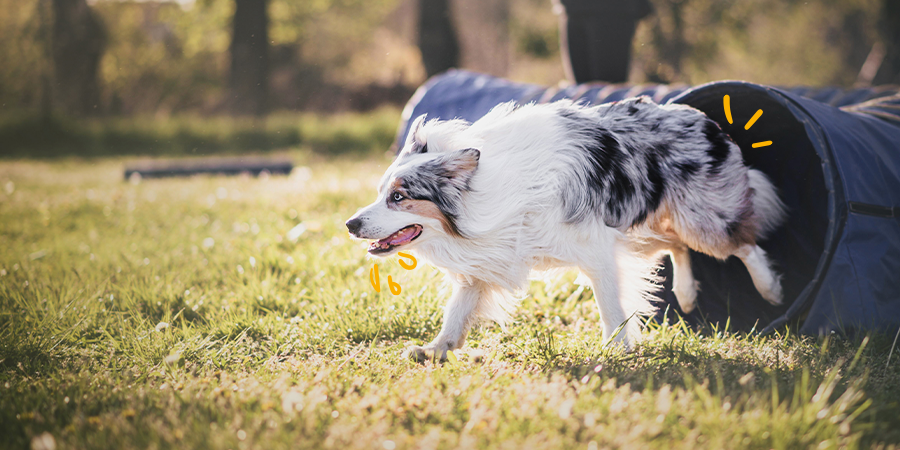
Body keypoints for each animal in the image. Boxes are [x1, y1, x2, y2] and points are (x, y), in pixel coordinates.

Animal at [348, 98, 784, 358]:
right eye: (381, 192)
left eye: (399, 197)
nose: (351, 224)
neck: (489, 193)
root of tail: (701, 117)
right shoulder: (489, 256)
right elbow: (458, 310)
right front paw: (437, 349)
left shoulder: (598, 249)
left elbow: (611, 306)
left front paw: (617, 349)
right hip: (644, 228)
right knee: (674, 245)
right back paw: (689, 295)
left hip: (700, 219)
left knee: (742, 243)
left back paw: (770, 290)